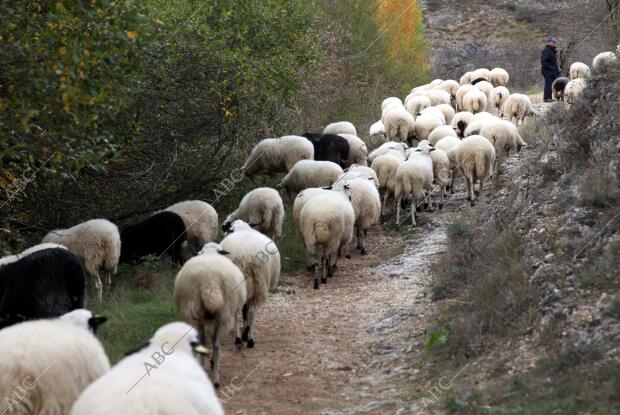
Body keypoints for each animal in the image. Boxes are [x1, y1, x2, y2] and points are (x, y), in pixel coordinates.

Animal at [174, 242, 247, 388]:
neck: (210, 253)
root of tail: (209, 282)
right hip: (224, 314)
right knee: (217, 345)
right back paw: (216, 380)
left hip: (193, 312)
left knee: (201, 343)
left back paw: (202, 369)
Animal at [220, 221, 280, 352]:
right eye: (230, 228)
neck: (241, 229)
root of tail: (245, 255)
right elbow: (245, 311)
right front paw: (245, 332)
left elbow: (244, 311)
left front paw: (244, 333)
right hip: (257, 285)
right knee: (252, 313)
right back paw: (249, 340)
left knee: (241, 312)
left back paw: (239, 339)